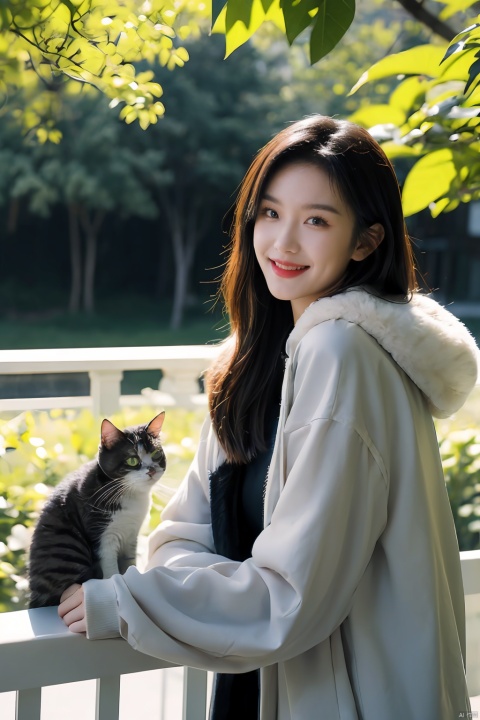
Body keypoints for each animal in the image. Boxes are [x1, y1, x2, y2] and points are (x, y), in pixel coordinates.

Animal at [29, 410, 167, 608]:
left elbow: (129, 564)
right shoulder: (102, 535)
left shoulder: (131, 536)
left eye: (156, 454)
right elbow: (111, 570)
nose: (151, 470)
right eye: (132, 459)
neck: (129, 495)